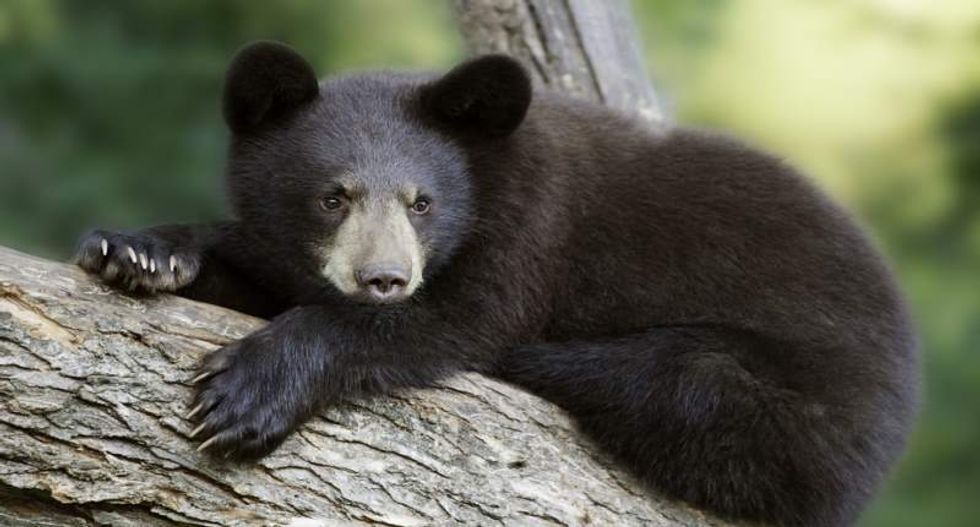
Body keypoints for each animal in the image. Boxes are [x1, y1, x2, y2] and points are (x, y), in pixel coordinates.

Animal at [75, 41, 918, 527]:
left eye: (423, 201)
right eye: (332, 196)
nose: (384, 278)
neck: (488, 179)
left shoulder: (531, 230)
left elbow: (457, 321)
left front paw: (247, 391)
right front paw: (140, 251)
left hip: (791, 401)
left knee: (670, 384)